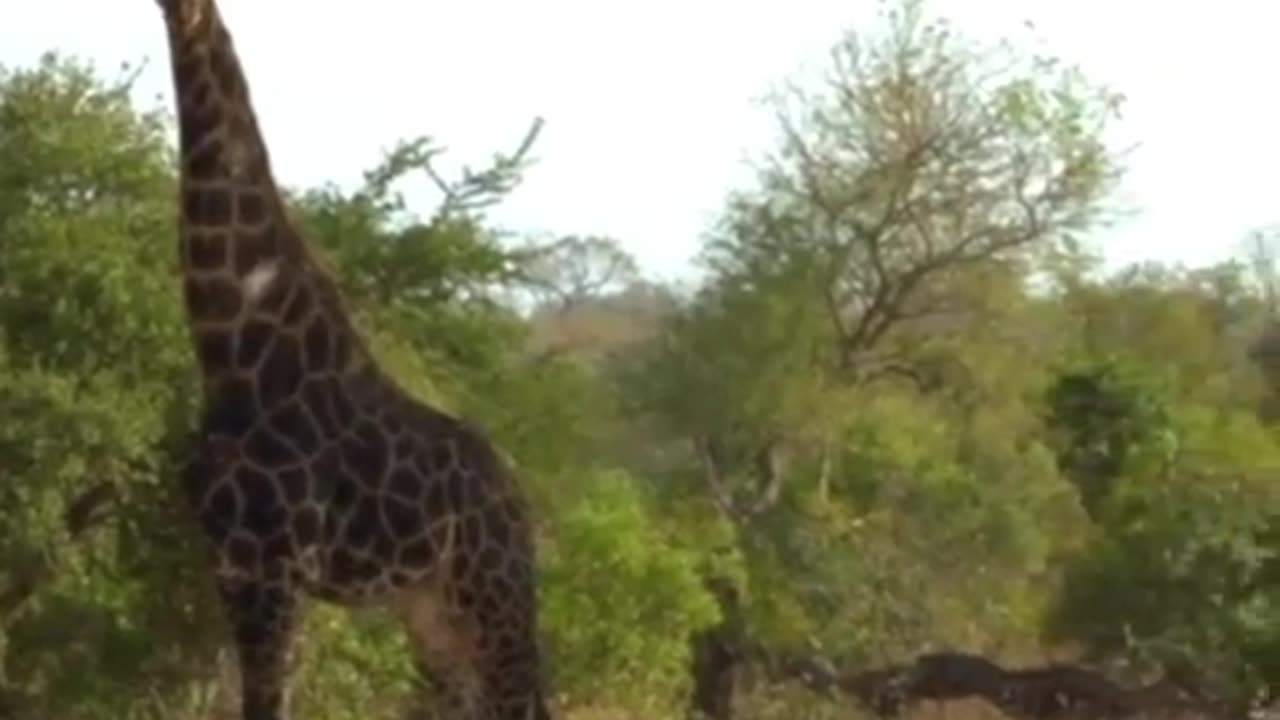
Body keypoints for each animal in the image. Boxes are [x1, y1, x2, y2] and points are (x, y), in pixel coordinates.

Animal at [149, 1, 550, 717]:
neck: (233, 347)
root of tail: (519, 496)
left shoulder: (277, 567)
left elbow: (268, 704)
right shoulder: (228, 560)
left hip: (493, 591)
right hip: (430, 608)